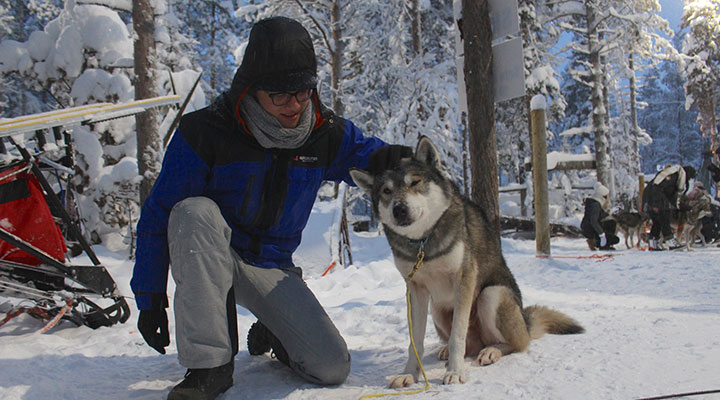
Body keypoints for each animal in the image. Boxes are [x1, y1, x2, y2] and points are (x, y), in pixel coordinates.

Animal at [350, 138, 584, 388]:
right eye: (386, 191)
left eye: (414, 182)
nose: (399, 209)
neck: (424, 242)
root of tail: (525, 321)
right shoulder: (415, 289)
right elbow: (415, 342)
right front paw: (409, 374)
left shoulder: (464, 279)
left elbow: (457, 336)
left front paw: (454, 372)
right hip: (436, 308)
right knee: (470, 345)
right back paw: (448, 351)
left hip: (491, 295)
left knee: (515, 344)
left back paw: (491, 351)